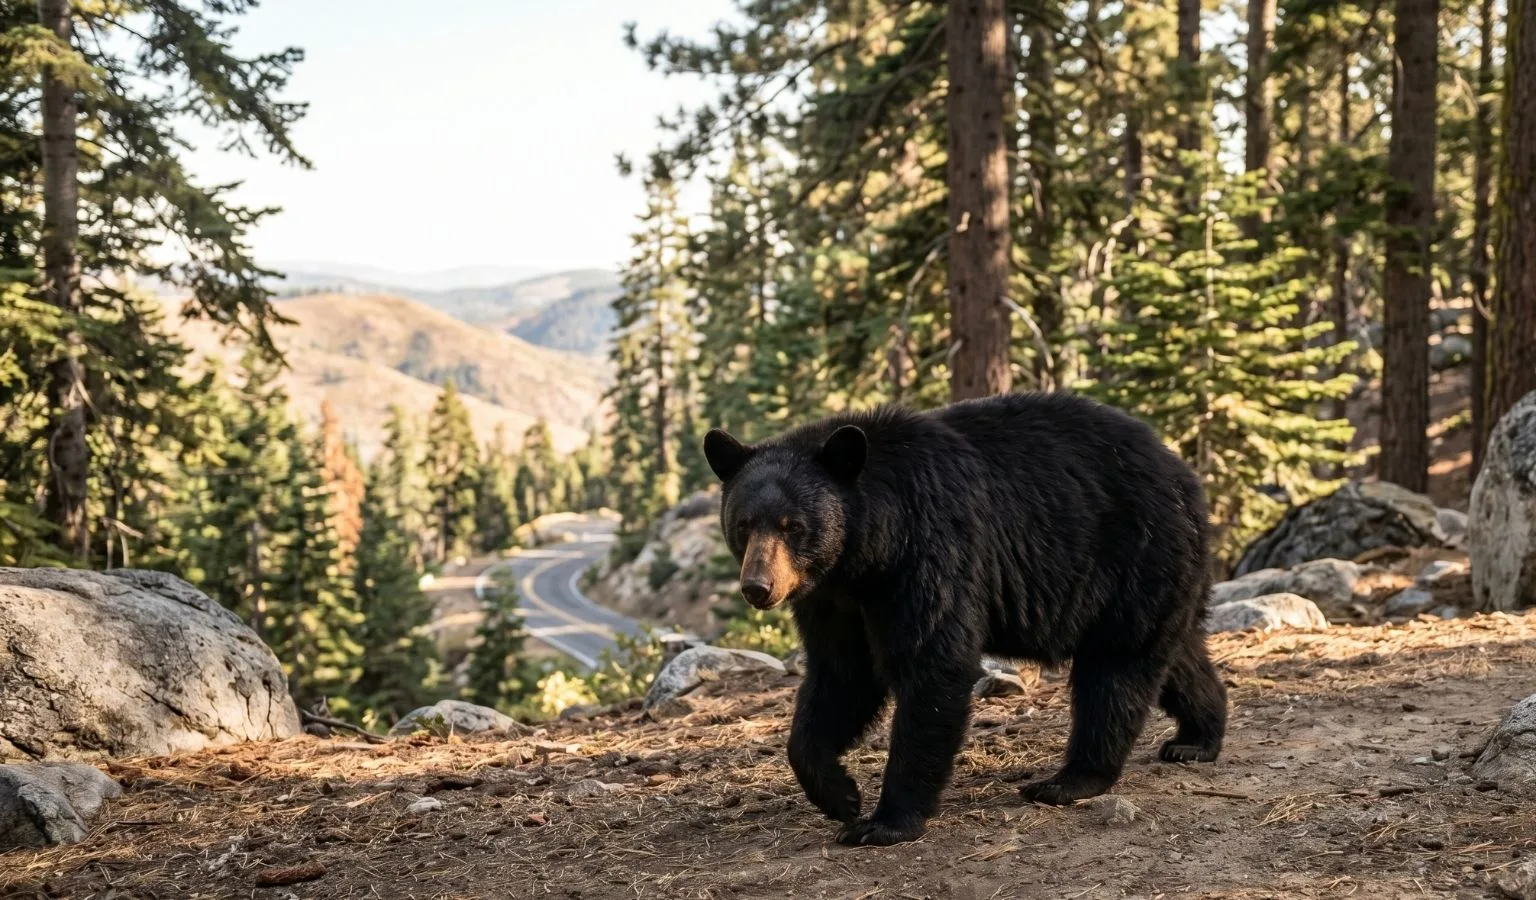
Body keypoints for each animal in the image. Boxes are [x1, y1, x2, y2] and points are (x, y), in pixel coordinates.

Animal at [702, 392, 1227, 847]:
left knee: (1115, 670)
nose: (758, 587)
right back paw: (1196, 738)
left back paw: (1068, 780)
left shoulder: (931, 551)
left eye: (793, 526)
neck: (866, 556)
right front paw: (840, 795)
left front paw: (885, 822)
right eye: (743, 523)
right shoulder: (835, 599)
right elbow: (841, 675)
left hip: (1133, 554)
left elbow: (933, 664)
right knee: (1176, 655)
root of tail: (1185, 475)